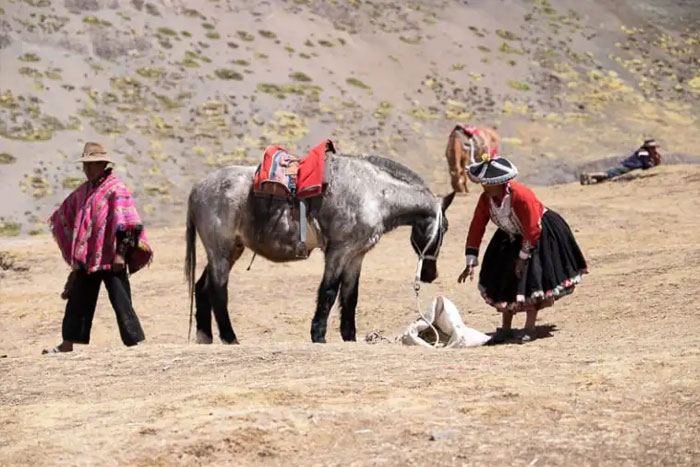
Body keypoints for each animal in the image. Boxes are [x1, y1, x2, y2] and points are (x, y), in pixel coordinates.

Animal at [185, 153, 454, 344]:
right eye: (444, 228)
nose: (431, 274)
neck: (374, 194)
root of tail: (197, 188)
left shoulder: (356, 255)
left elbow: (350, 295)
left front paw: (349, 336)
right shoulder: (338, 252)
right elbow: (328, 291)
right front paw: (318, 335)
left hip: (229, 251)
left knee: (202, 286)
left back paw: (205, 336)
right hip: (221, 251)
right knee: (218, 291)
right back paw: (230, 338)